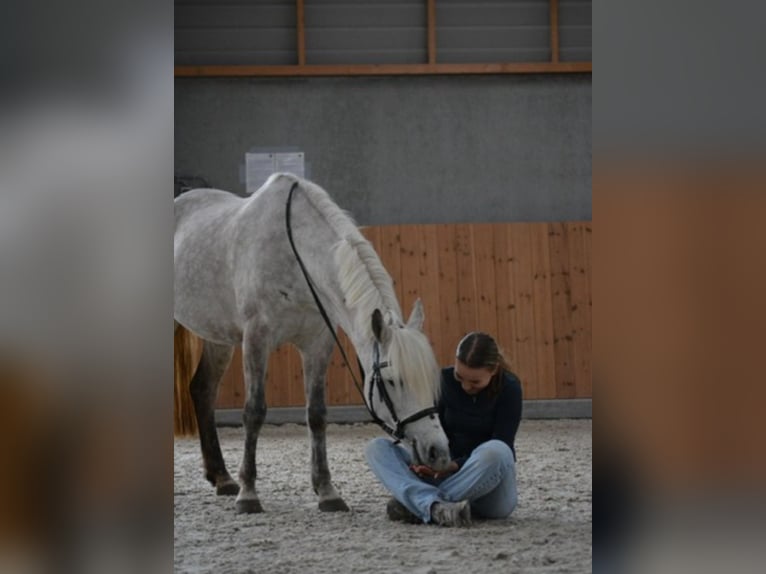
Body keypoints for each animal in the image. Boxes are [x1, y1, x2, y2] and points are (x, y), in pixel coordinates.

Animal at [174, 172, 451, 514]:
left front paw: (326, 491)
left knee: (202, 390)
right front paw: (249, 493)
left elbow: (317, 414)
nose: (438, 452)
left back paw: (222, 477)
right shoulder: (256, 338)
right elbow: (254, 412)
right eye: (392, 380)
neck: (294, 254)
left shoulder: (317, 343)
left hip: (218, 337)